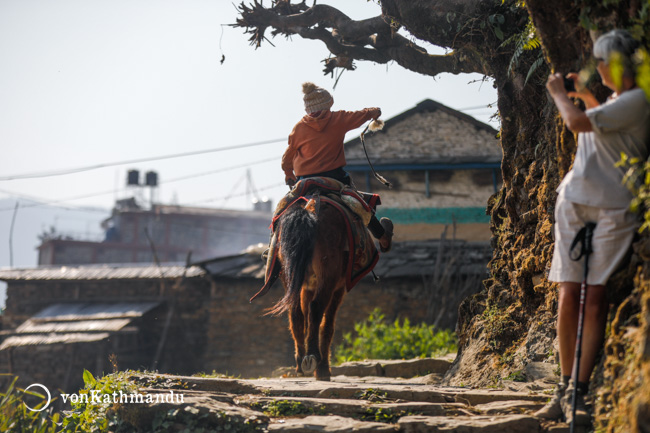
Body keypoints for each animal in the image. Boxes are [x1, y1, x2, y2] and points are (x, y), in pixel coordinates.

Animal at [264, 196, 346, 382]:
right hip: (327, 276)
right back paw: (313, 358)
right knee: (316, 309)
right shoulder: (339, 287)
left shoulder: (306, 287)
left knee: (295, 312)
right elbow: (326, 325)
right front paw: (323, 370)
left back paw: (302, 360)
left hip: (288, 274)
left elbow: (305, 318)